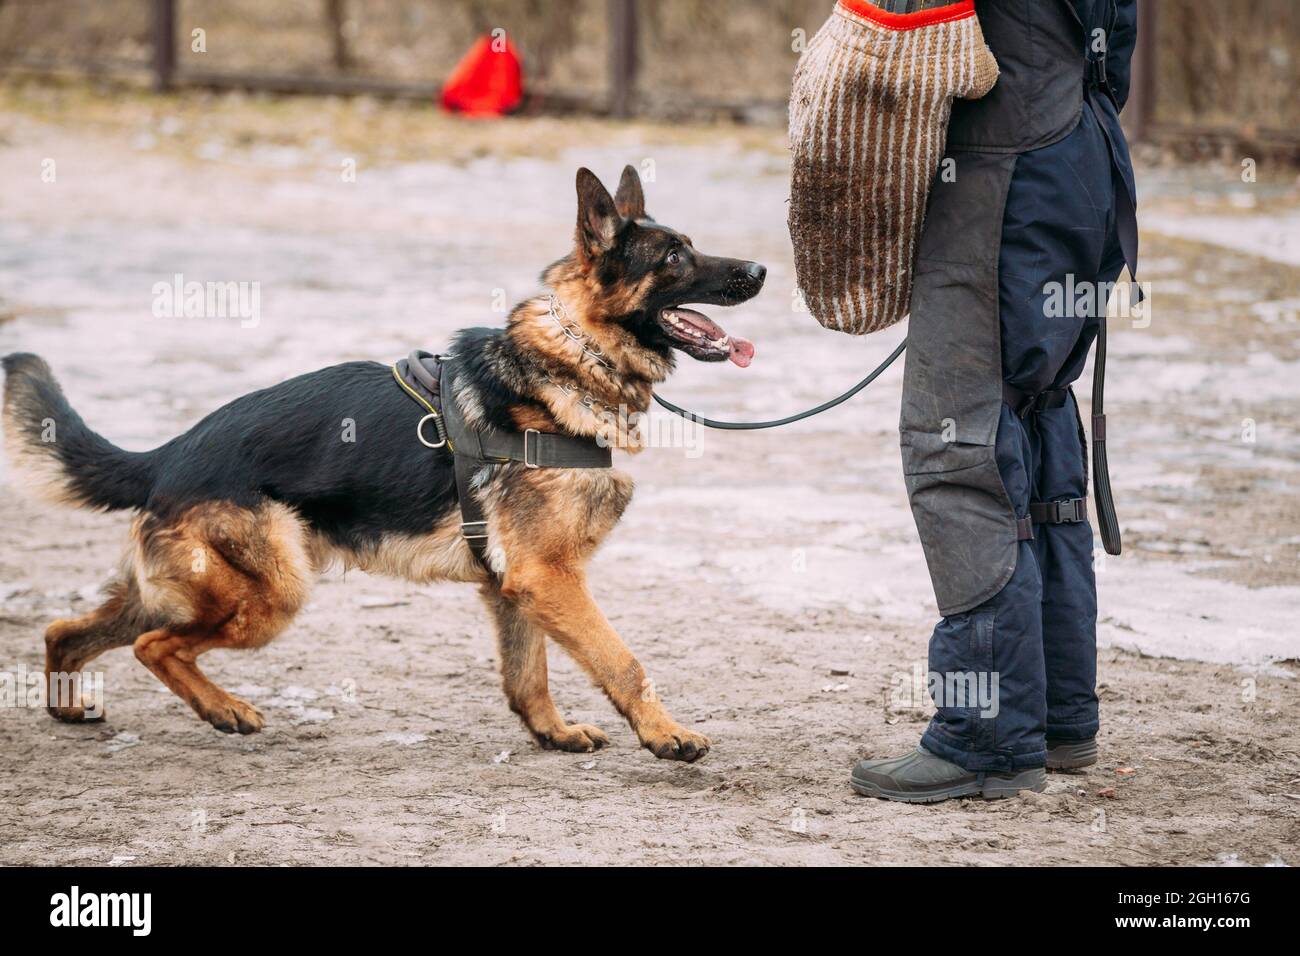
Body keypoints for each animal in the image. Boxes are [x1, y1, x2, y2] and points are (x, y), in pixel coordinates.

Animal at [0, 164, 764, 764]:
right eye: (674, 258)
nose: (759, 269)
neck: (574, 354)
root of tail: (166, 455)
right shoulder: (549, 577)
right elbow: (621, 660)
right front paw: (666, 735)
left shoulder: (513, 585)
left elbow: (529, 677)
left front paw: (554, 733)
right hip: (272, 594)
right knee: (157, 646)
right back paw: (226, 709)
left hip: (187, 588)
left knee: (69, 632)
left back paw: (70, 706)